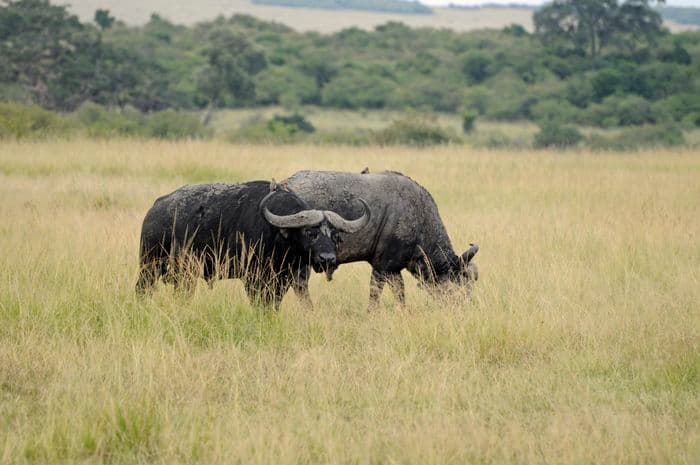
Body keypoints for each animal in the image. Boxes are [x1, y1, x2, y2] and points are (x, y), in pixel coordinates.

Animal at [136, 181, 370, 309]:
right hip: (150, 265)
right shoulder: (253, 279)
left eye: (334, 236)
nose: (327, 259)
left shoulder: (282, 281)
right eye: (310, 232)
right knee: (142, 289)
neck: (276, 237)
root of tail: (156, 209)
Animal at [282, 170, 478, 307]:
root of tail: (285, 185)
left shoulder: (394, 269)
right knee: (300, 285)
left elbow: (399, 293)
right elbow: (375, 294)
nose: (466, 307)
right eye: (459, 284)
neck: (419, 218)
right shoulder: (382, 266)